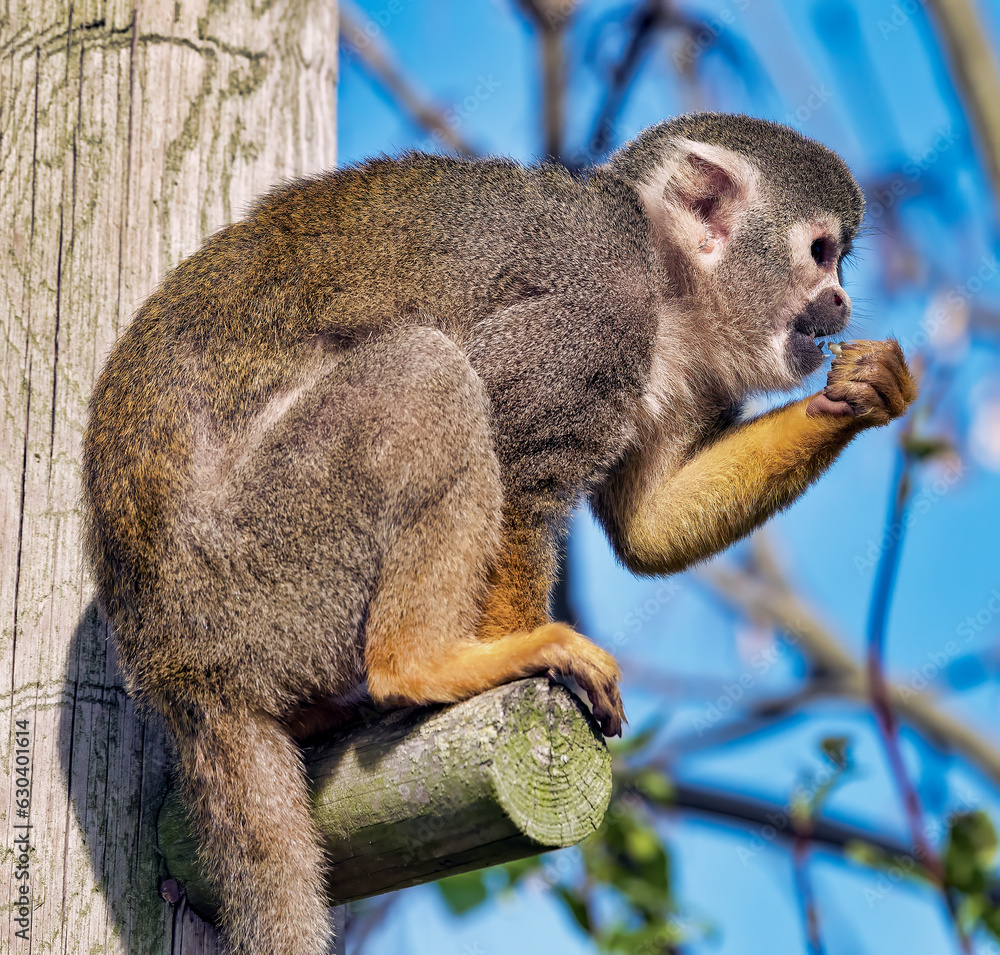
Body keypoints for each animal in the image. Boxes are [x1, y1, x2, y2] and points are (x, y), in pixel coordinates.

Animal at [81, 112, 916, 955]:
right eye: (820, 252)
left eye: (840, 262)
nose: (840, 299)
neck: (666, 282)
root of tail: (177, 665)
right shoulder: (597, 305)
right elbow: (515, 456)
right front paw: (524, 649)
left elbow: (647, 527)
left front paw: (864, 392)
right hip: (261, 570)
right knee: (429, 374)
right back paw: (425, 664)